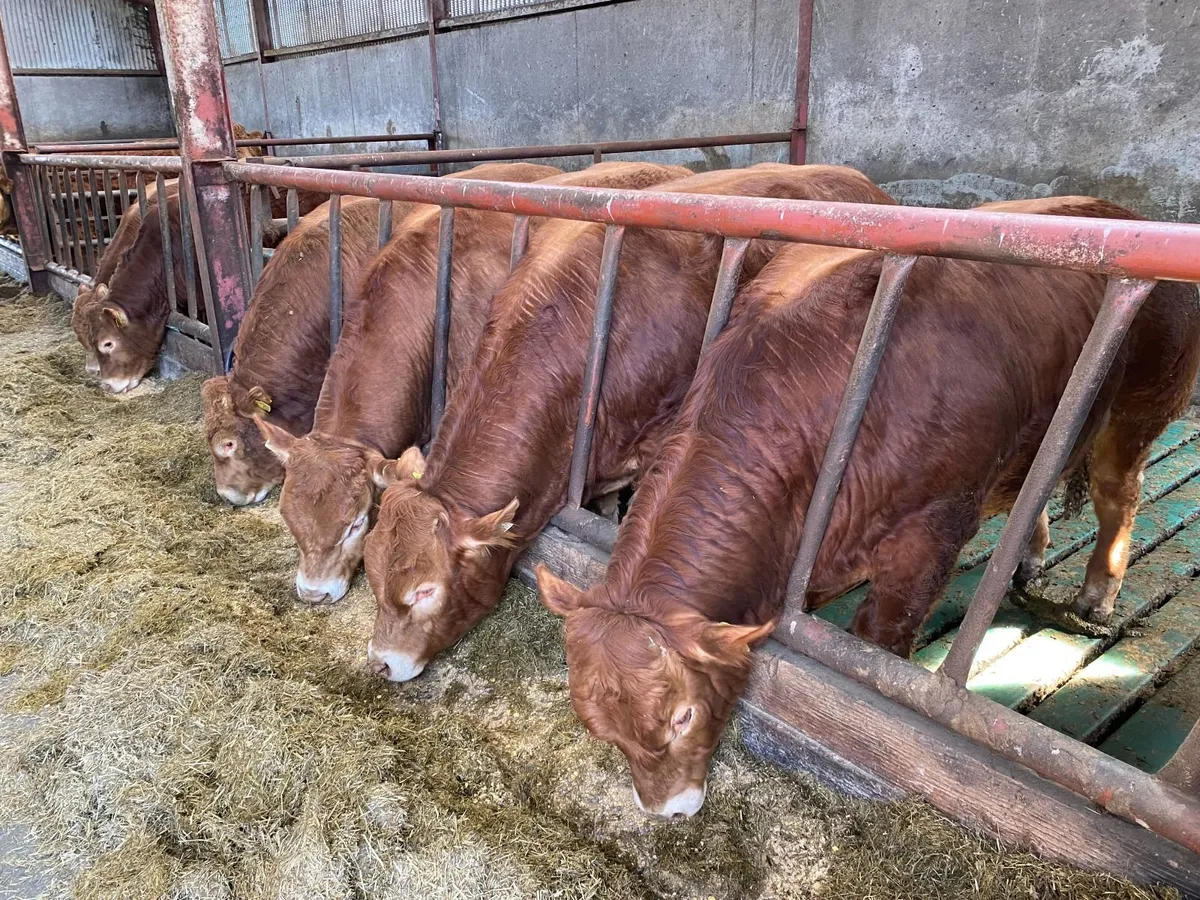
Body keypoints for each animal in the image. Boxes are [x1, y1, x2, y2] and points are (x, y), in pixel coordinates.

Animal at [535, 196, 1200, 819]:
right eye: (599, 727)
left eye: (683, 715)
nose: (668, 810)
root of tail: (1120, 212)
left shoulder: (930, 533)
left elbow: (881, 645)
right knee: (1028, 496)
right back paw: (1028, 563)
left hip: (1141, 407)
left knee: (1117, 494)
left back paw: (1095, 598)